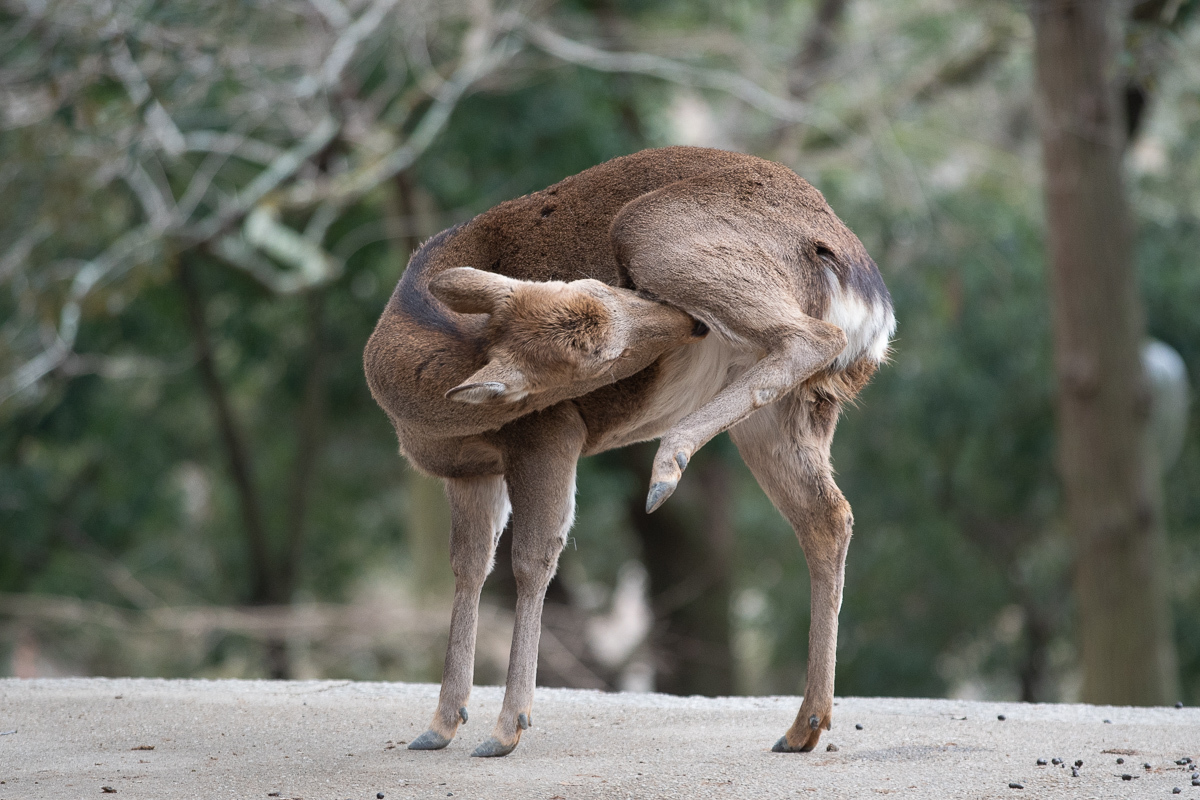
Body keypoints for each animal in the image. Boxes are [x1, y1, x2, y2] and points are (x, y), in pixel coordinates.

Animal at [362, 145, 892, 758]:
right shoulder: (469, 473)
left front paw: (505, 730)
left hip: (649, 230)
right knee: (827, 516)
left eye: (603, 284)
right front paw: (439, 726)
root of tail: (869, 298)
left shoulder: (548, 432)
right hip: (795, 413)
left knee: (812, 338)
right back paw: (802, 727)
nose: (687, 323)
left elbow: (533, 559)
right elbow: (469, 568)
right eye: (601, 357)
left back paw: (668, 466)